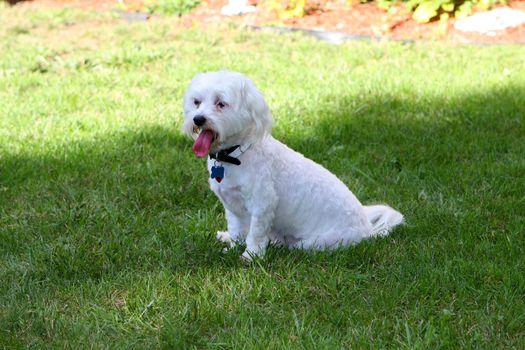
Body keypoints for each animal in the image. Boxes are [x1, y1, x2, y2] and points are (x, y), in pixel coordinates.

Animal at [180, 71, 402, 262]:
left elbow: (256, 233)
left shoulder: (263, 203)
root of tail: (366, 228)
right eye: (196, 102)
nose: (198, 119)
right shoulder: (231, 205)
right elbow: (236, 230)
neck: (234, 155)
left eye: (221, 104)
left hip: (317, 243)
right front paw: (233, 245)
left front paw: (250, 256)